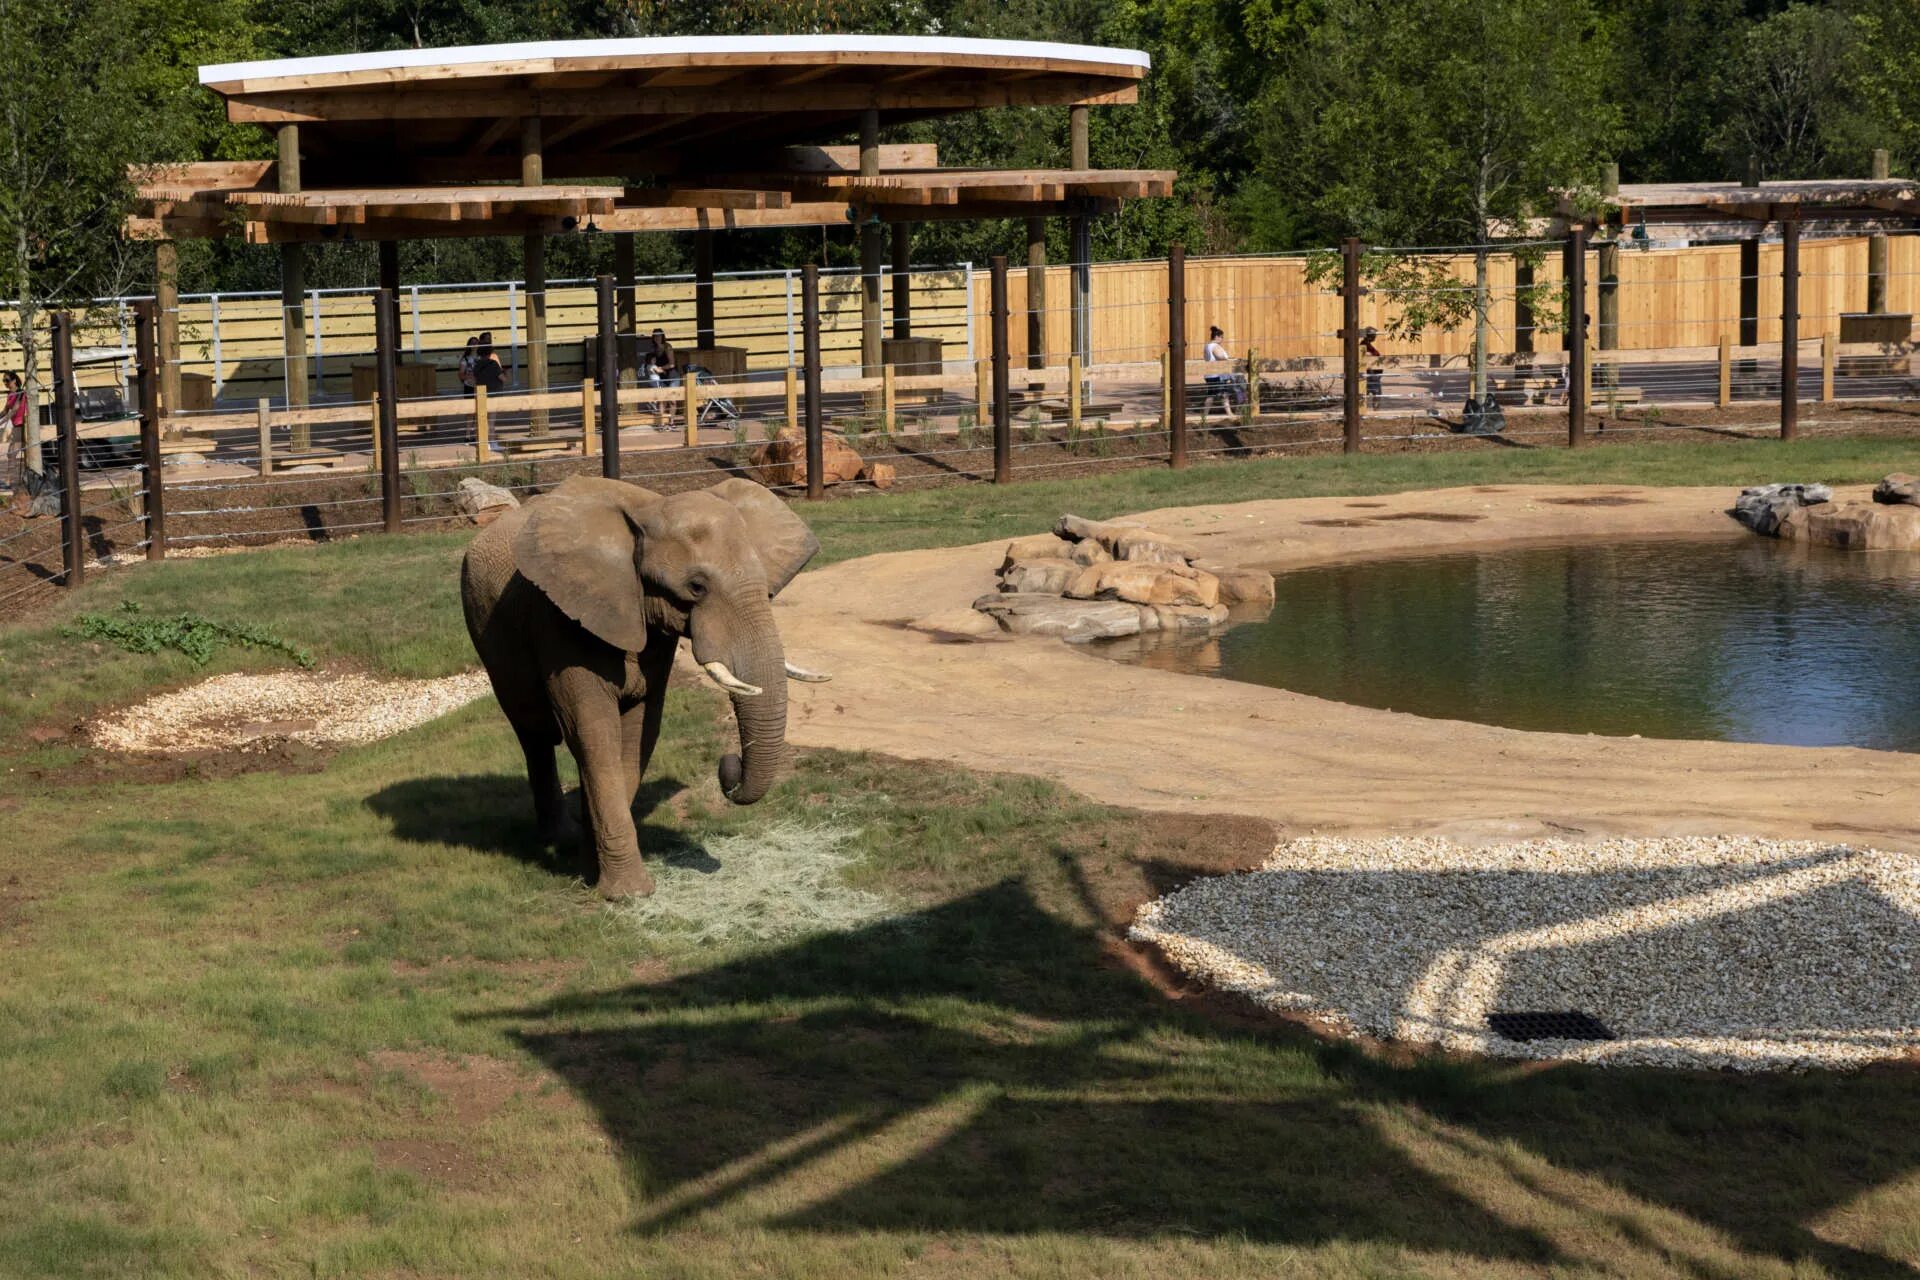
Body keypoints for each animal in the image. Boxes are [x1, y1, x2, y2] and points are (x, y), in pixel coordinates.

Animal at [468, 474, 829, 901]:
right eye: (696, 587)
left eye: (767, 586)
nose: (728, 765)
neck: (648, 511)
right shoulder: (560, 620)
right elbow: (592, 730)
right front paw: (627, 894)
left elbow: (638, 730)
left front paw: (591, 869)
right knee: (534, 732)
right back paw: (560, 838)